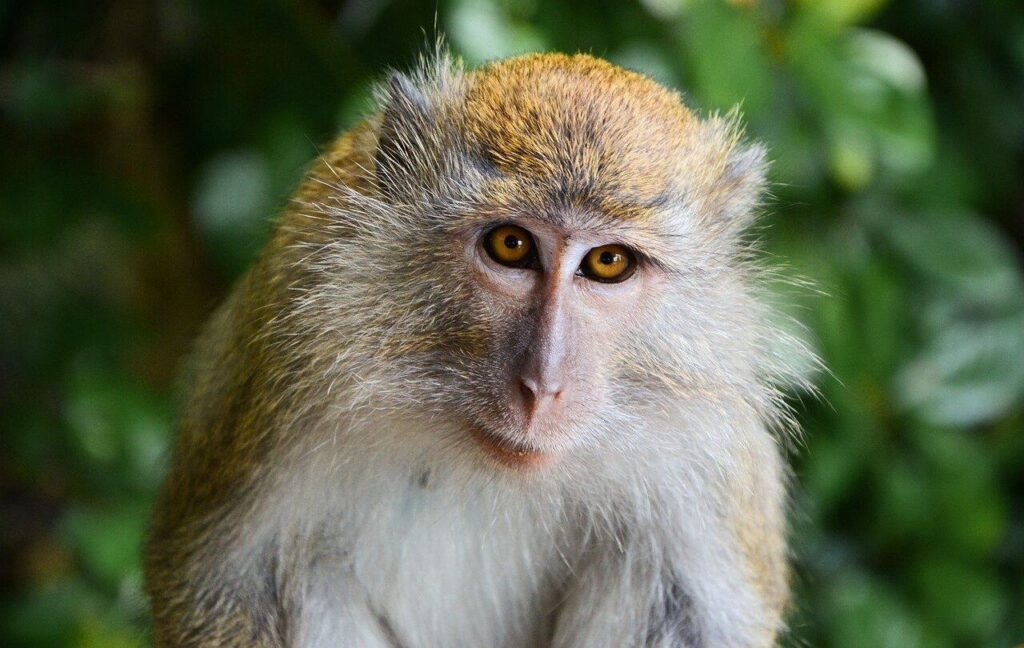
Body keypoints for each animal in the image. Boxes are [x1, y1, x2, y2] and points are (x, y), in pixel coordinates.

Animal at [144, 50, 811, 647]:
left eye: (608, 262)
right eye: (511, 245)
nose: (542, 386)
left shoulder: (710, 448)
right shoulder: (291, 350)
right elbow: (226, 581)